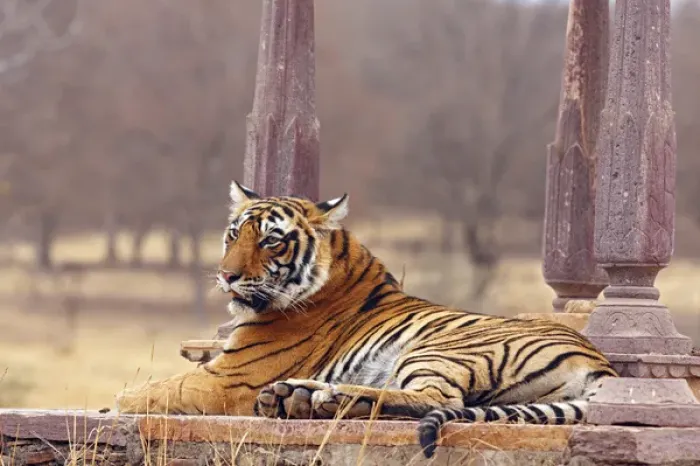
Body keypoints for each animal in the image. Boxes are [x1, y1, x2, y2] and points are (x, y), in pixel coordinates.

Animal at [116, 181, 617, 458]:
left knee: (429, 398)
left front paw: (117, 404)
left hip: (439, 349)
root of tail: (600, 363)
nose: (226, 275)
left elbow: (149, 391)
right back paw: (298, 397)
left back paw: (327, 399)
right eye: (234, 234)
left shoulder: (231, 378)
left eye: (271, 241)